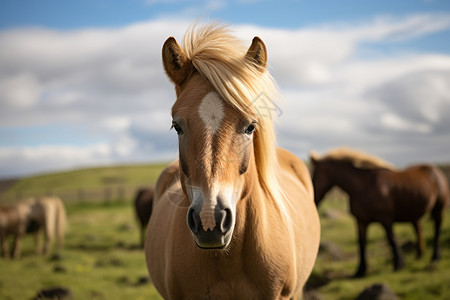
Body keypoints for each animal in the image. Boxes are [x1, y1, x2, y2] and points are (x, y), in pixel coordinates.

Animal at [312, 147, 448, 276]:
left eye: (313, 176)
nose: (313, 202)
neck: (363, 187)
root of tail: (436, 171)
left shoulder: (385, 219)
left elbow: (392, 239)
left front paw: (399, 264)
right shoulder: (361, 221)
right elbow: (361, 243)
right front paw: (360, 271)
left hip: (438, 210)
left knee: (437, 231)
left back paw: (435, 257)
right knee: (419, 229)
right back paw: (419, 255)